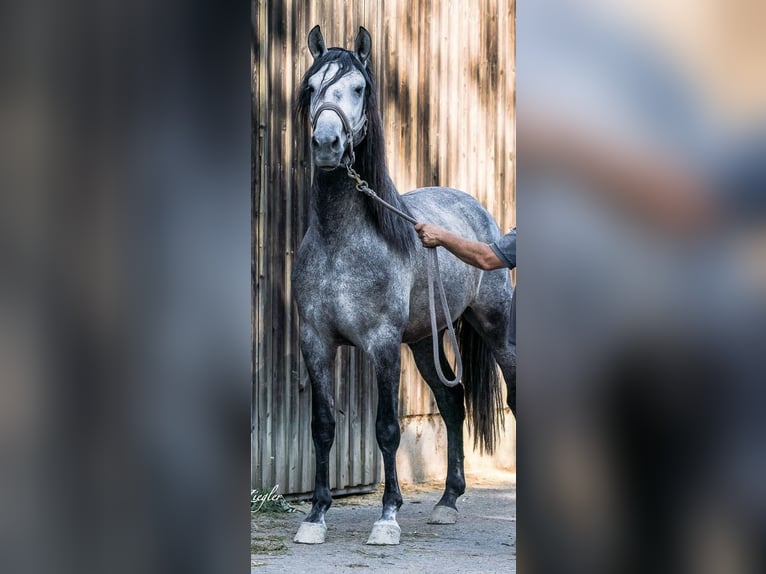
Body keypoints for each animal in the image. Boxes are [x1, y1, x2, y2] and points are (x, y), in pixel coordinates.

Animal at [292, 25, 516, 548]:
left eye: (358, 88)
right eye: (311, 87)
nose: (327, 143)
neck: (342, 241)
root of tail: (477, 211)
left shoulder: (382, 344)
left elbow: (387, 428)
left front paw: (387, 516)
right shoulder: (315, 341)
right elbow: (323, 425)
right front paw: (316, 515)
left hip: (496, 330)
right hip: (423, 342)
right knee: (452, 401)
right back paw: (447, 502)